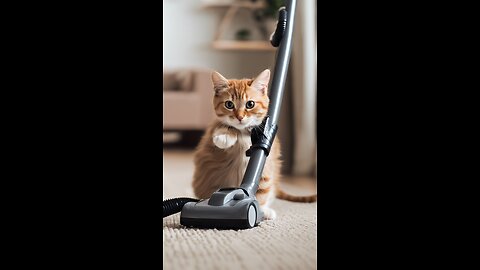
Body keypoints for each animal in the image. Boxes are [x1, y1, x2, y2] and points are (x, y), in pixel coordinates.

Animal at [191, 68, 318, 220]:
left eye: (250, 104)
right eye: (229, 104)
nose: (240, 117)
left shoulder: (266, 168)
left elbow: (261, 191)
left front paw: (261, 210)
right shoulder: (211, 137)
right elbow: (221, 128)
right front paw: (225, 136)